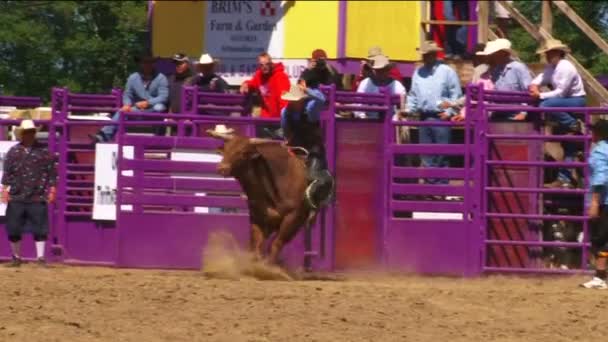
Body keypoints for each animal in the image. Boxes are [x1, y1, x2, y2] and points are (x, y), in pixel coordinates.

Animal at [207, 127, 334, 268]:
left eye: (244, 152)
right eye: (226, 149)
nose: (222, 168)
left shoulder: (293, 218)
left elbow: (277, 243)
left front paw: (268, 267)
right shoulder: (257, 217)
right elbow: (256, 245)